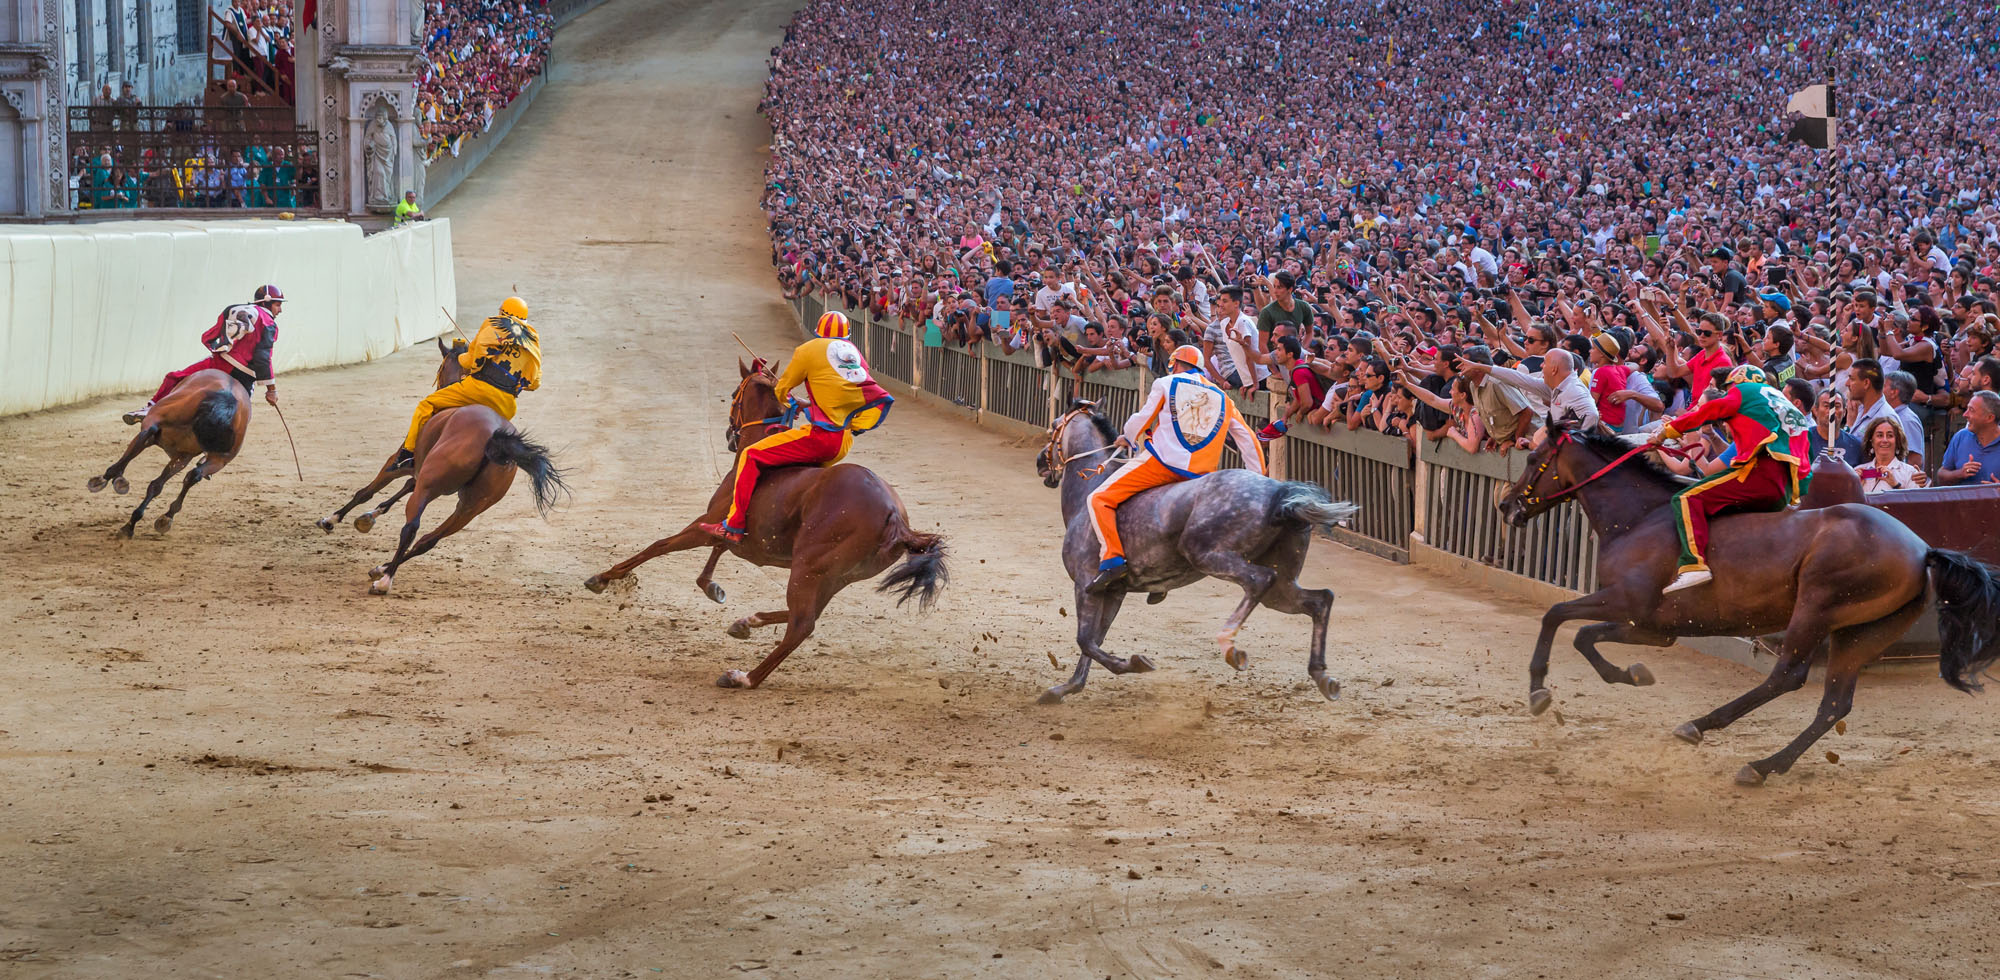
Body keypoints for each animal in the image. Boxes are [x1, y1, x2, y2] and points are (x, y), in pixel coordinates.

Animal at [88, 368, 252, 536]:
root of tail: (226, 401)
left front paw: (112, 478)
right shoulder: (183, 455)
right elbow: (158, 484)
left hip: (160, 424)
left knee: (146, 437)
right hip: (217, 459)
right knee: (190, 476)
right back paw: (155, 519)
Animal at [346, 336, 572, 596]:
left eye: (441, 367)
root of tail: (496, 436)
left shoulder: (400, 464)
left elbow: (367, 491)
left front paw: (332, 520)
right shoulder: (420, 472)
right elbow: (400, 490)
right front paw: (369, 517)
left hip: (431, 488)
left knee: (411, 528)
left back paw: (384, 580)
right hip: (471, 507)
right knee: (428, 540)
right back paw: (382, 568)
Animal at [584, 358, 948, 688]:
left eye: (734, 393)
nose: (729, 434)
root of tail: (896, 518)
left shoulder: (706, 523)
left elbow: (658, 546)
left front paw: (603, 577)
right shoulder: (733, 533)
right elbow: (715, 553)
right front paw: (715, 590)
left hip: (809, 567)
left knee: (801, 625)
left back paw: (745, 677)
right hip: (835, 576)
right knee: (806, 616)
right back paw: (747, 623)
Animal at [1032, 400, 1360, 704]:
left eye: (1054, 426)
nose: (1039, 462)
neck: (1090, 492)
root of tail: (1279, 494)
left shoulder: (1086, 584)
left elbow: (1085, 640)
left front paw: (1132, 664)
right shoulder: (1114, 591)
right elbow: (1094, 641)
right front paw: (1067, 688)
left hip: (1208, 555)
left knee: (1259, 580)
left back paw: (1229, 645)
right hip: (1282, 587)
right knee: (1320, 600)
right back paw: (1322, 676)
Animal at [1504, 424, 2000, 788]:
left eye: (1532, 459)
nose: (1508, 505)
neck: (1639, 518)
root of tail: (1922, 550)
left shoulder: (1627, 601)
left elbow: (1558, 618)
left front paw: (1538, 691)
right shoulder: (1651, 626)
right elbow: (1586, 636)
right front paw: (1631, 673)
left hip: (1815, 609)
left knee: (1788, 676)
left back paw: (1705, 727)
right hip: (1861, 634)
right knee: (1834, 704)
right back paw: (1766, 764)